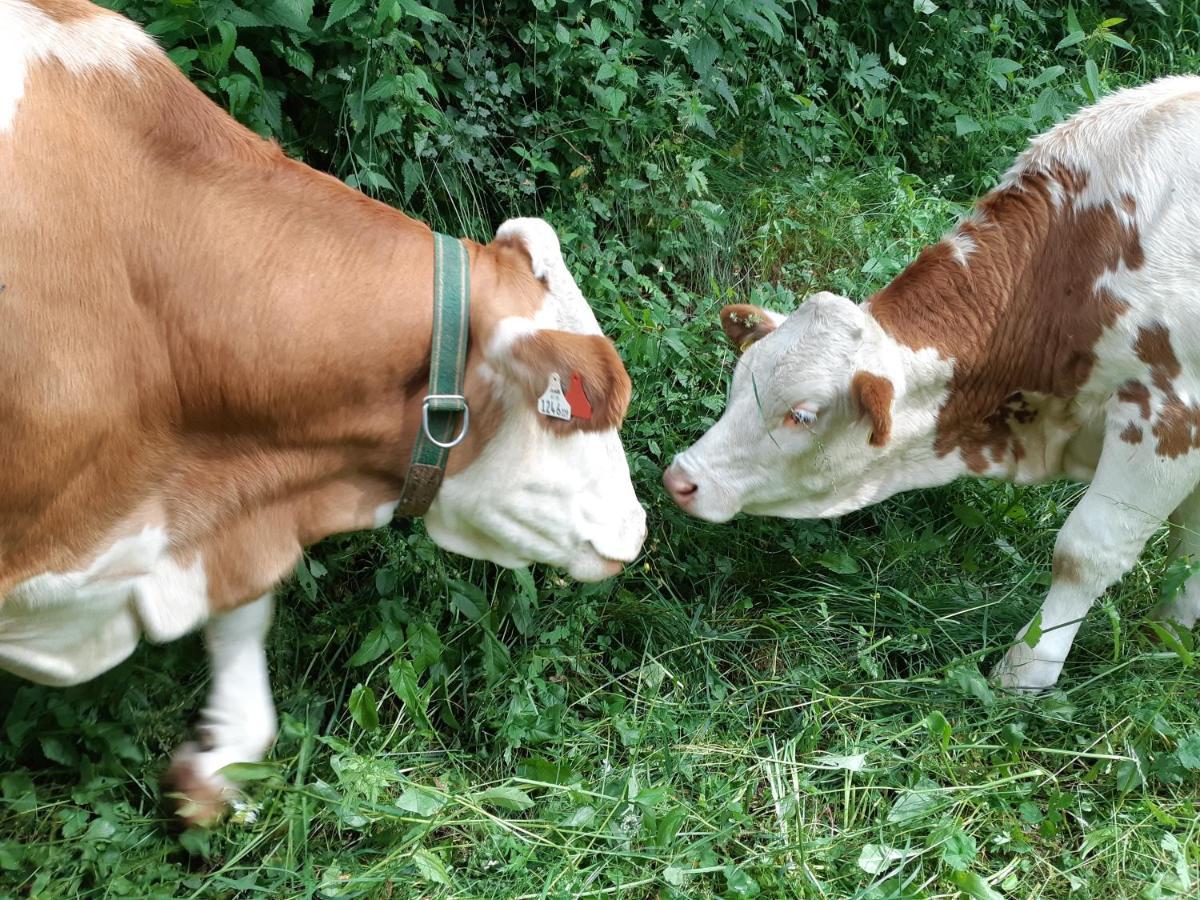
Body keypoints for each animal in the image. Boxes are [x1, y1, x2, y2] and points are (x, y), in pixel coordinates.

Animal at [672, 77, 1200, 696]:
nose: (680, 478)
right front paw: (1173, 634)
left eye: (801, 414)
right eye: (739, 383)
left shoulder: (1167, 419)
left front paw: (1026, 671)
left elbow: (1085, 551)